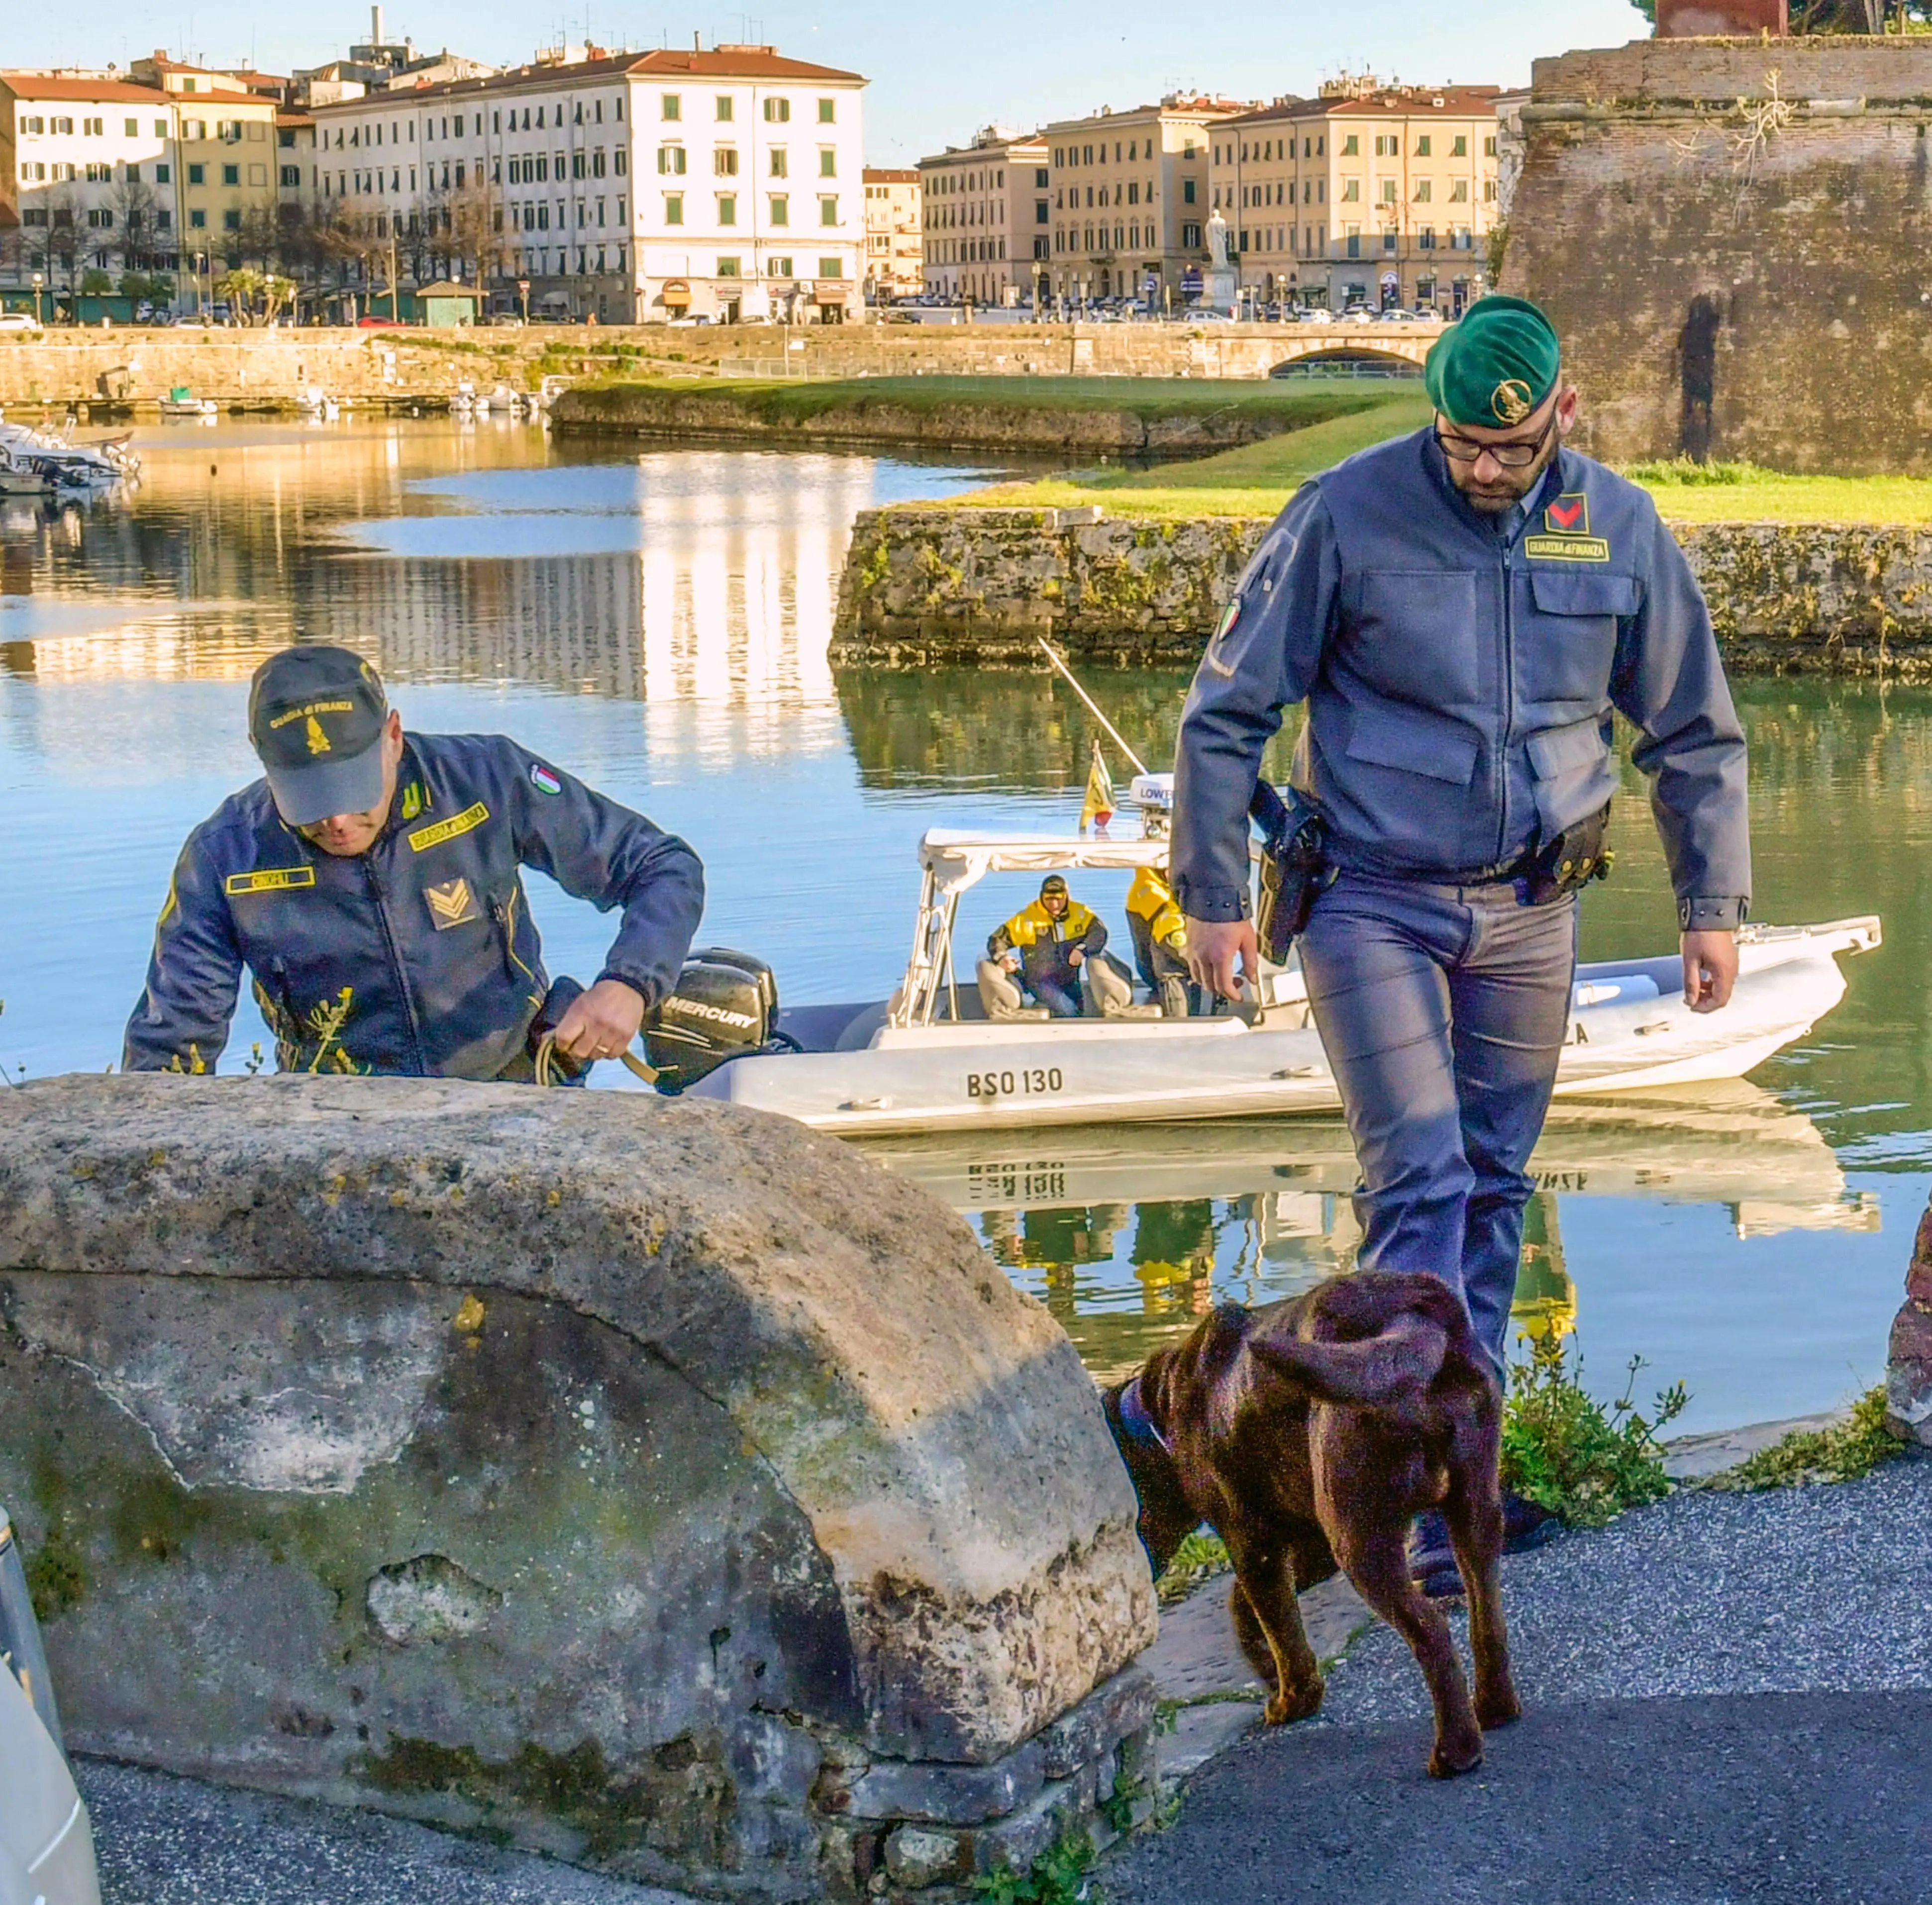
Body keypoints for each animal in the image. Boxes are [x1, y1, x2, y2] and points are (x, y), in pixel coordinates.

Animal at [1113, 1267, 1515, 1777]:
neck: (1157, 1414)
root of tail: (1408, 1311)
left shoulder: (1253, 1542)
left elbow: (1278, 1624)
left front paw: (1292, 1701)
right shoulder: (1307, 1544)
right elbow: (1251, 1608)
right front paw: (1270, 1672)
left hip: (1360, 1535)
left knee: (1431, 1629)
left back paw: (1455, 1751)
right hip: (1474, 1506)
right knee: (1488, 1616)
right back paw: (1495, 1708)